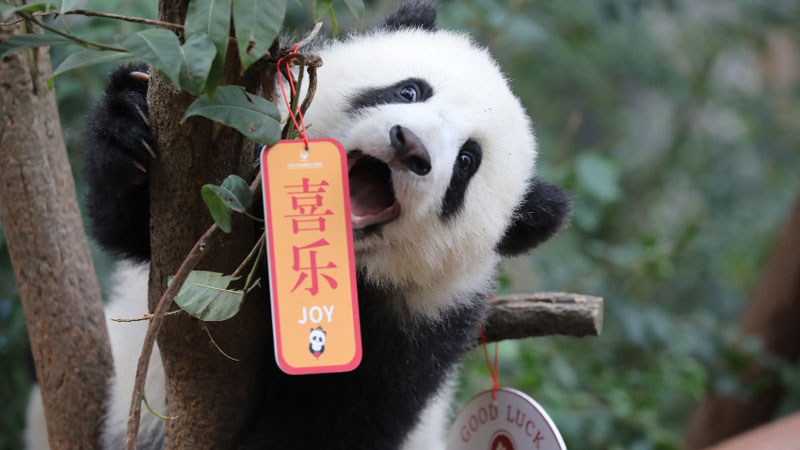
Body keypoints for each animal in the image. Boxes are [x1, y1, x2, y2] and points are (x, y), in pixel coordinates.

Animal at [25, 1, 571, 449]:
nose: (410, 145)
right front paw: (128, 123)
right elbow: (140, 234)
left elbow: (340, 421)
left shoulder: (419, 328)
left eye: (466, 162)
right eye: (410, 89)